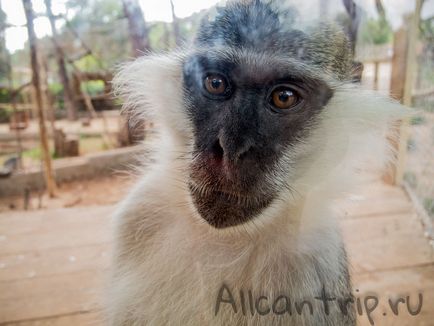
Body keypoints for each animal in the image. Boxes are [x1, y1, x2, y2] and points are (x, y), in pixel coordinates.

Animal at [107, 1, 404, 324]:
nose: (231, 148)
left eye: (284, 97)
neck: (224, 238)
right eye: (215, 83)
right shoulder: (139, 212)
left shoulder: (316, 266)